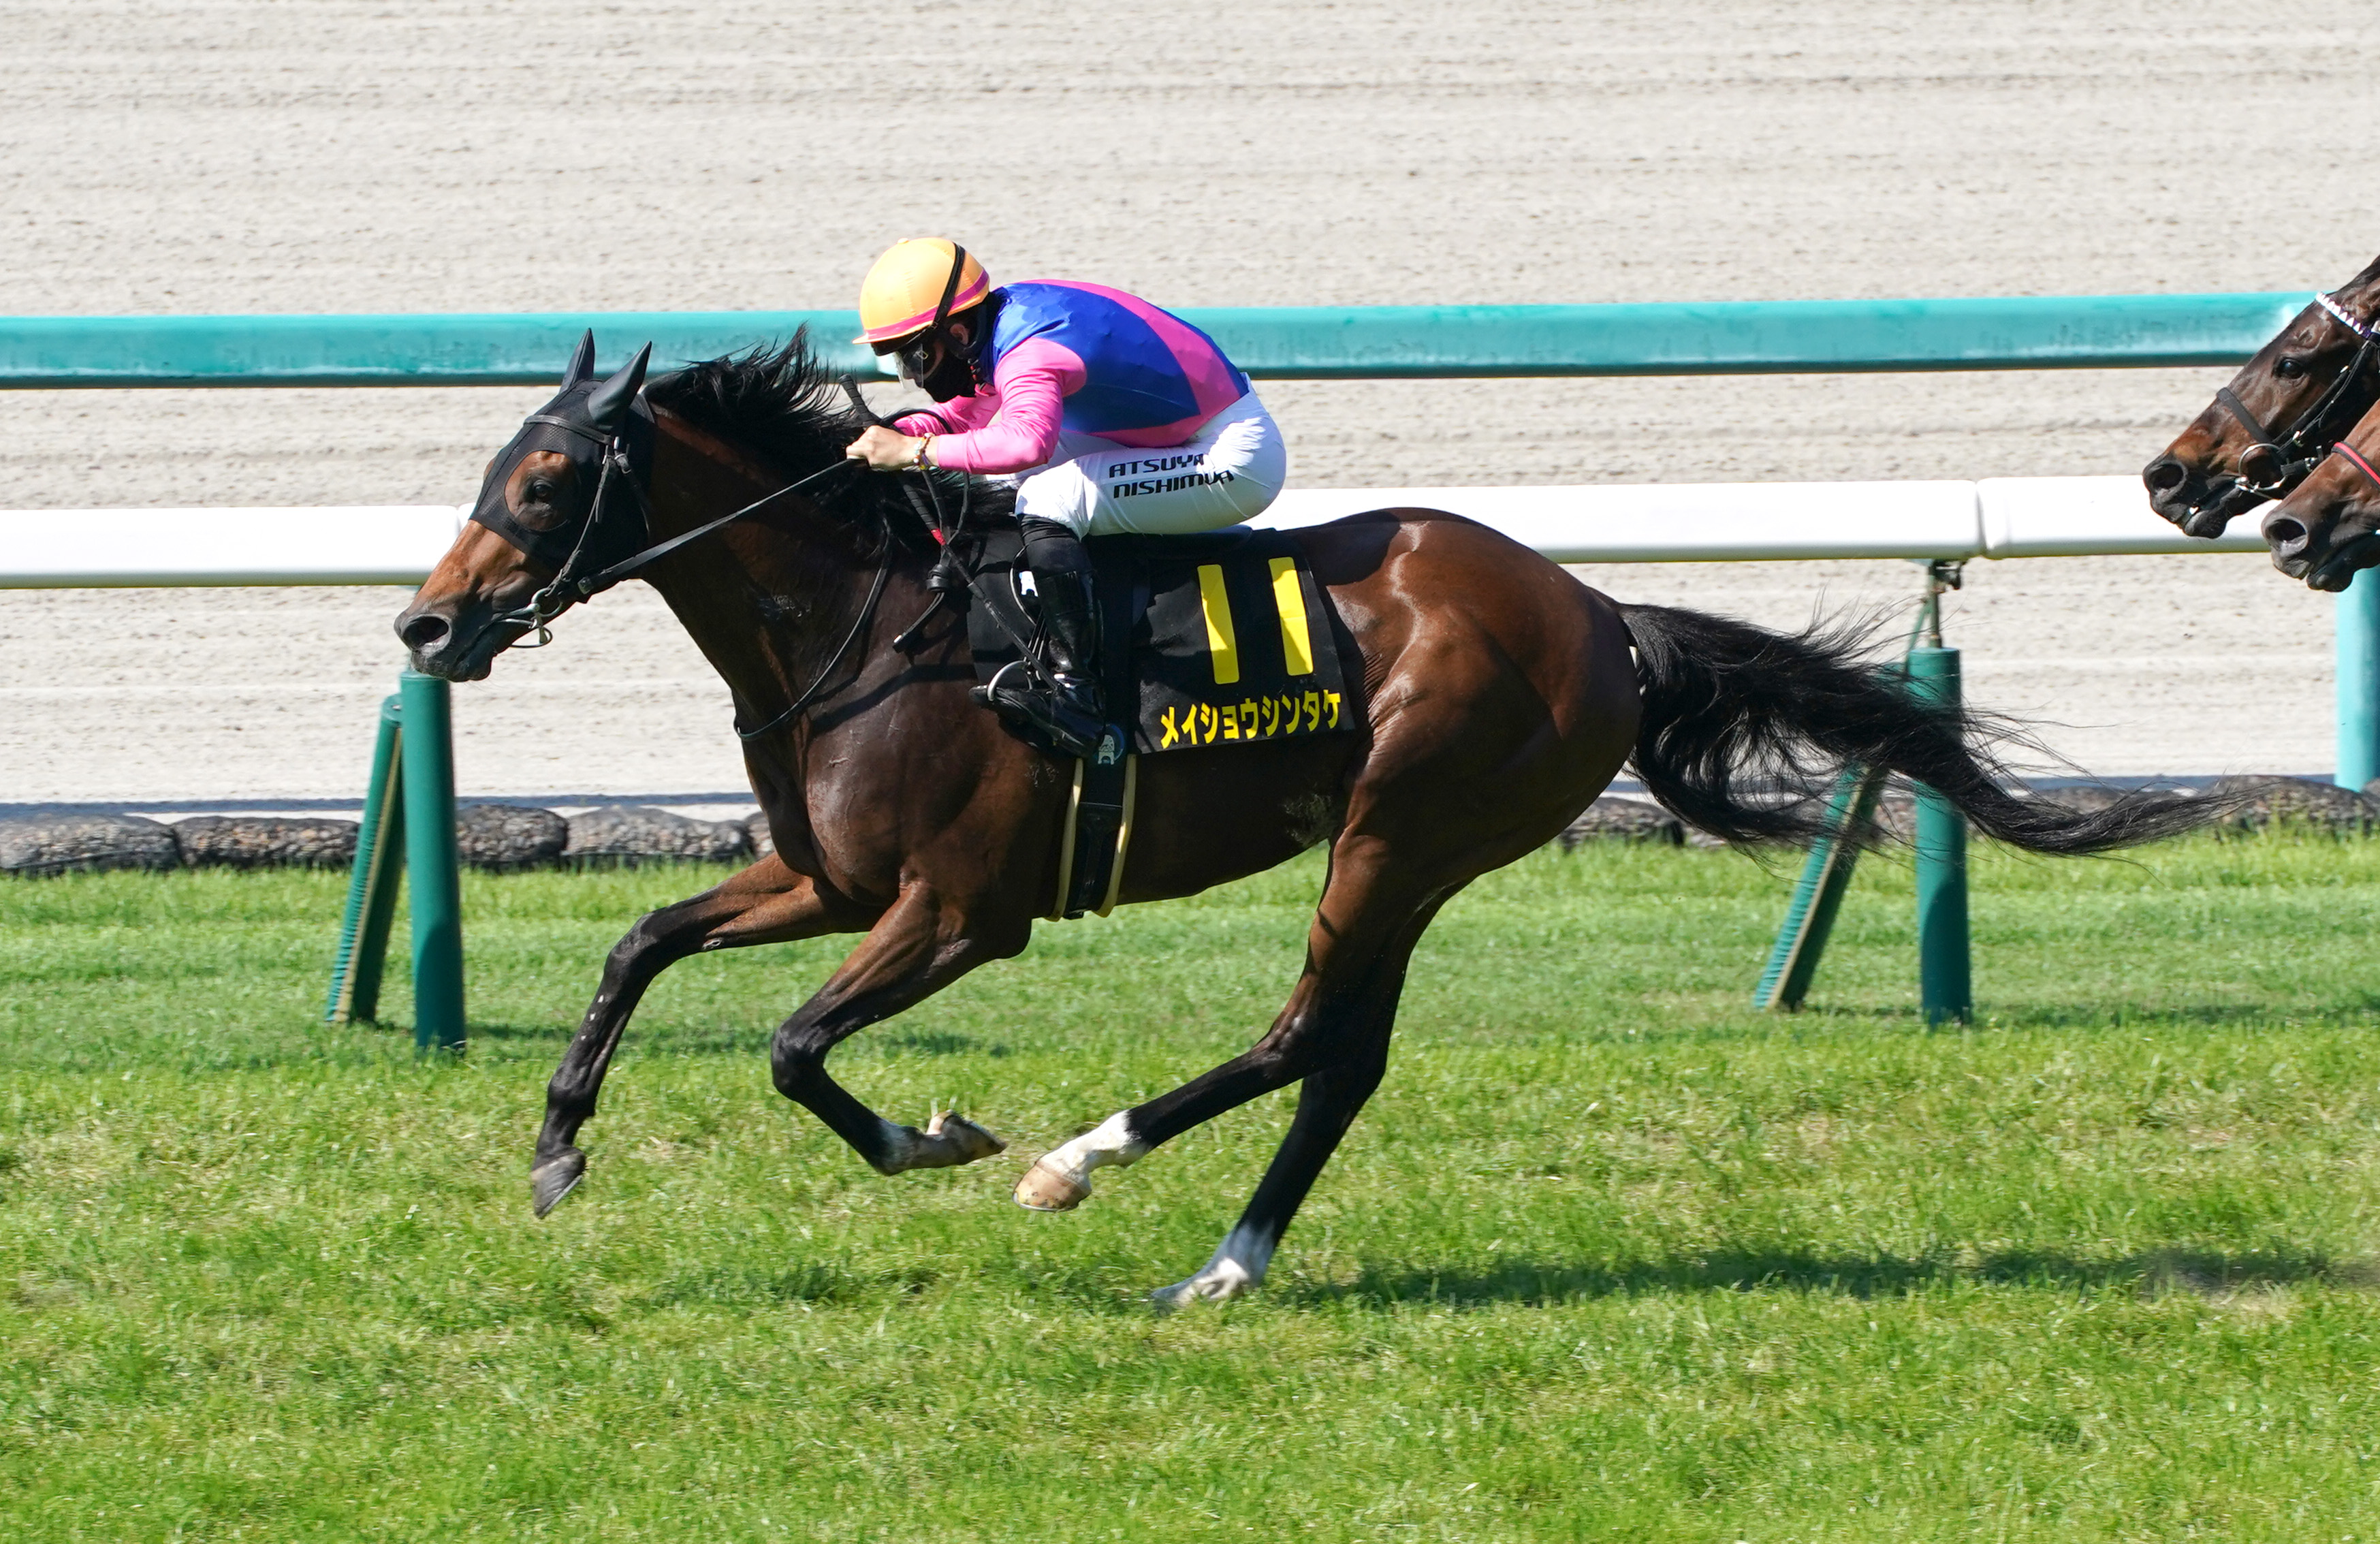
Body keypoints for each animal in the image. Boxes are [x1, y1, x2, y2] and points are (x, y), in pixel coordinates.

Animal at [395, 333, 2208, 1304]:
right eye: (491, 465)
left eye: (545, 481)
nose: (426, 625)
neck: (866, 616)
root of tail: (1601, 615)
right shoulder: (829, 876)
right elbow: (640, 942)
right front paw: (556, 1145)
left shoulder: (959, 909)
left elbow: (789, 1046)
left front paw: (940, 1135)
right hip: (1414, 851)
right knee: (1344, 1054)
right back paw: (1227, 1256)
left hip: (1399, 826)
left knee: (1299, 1029)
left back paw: (1080, 1162)